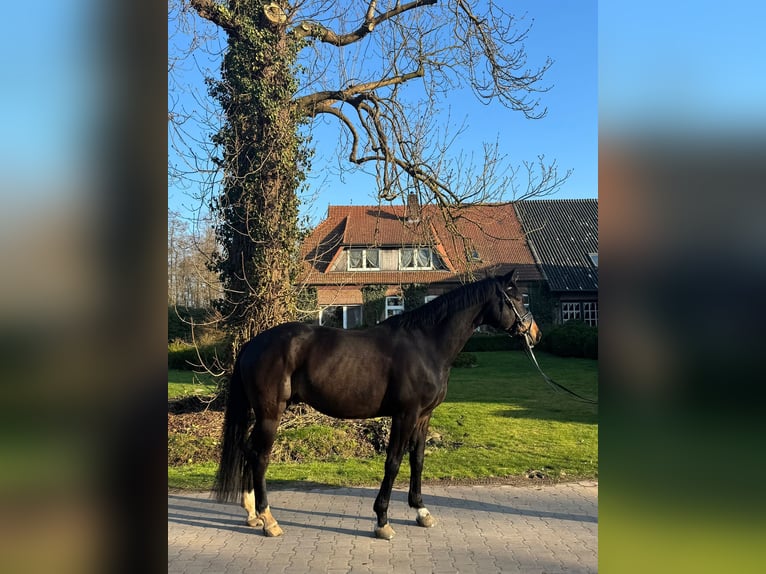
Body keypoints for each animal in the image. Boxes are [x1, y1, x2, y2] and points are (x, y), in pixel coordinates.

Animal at [212, 269, 541, 540]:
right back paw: (269, 520)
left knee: (248, 450)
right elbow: (393, 462)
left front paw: (421, 511)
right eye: (515, 298)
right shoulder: (405, 415)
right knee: (260, 456)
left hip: (261, 414)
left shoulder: (424, 416)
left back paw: (252, 513)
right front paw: (382, 520)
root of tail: (253, 344)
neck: (426, 345)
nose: (535, 333)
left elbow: (417, 460)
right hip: (271, 413)